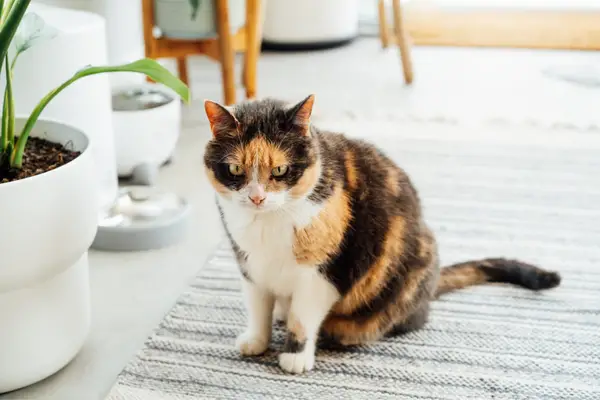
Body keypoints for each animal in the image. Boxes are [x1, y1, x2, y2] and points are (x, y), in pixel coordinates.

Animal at [203, 94, 564, 376]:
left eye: (280, 170)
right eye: (235, 169)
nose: (257, 198)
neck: (267, 226)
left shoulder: (323, 275)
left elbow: (302, 319)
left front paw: (294, 357)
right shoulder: (250, 266)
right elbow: (257, 307)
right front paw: (256, 340)